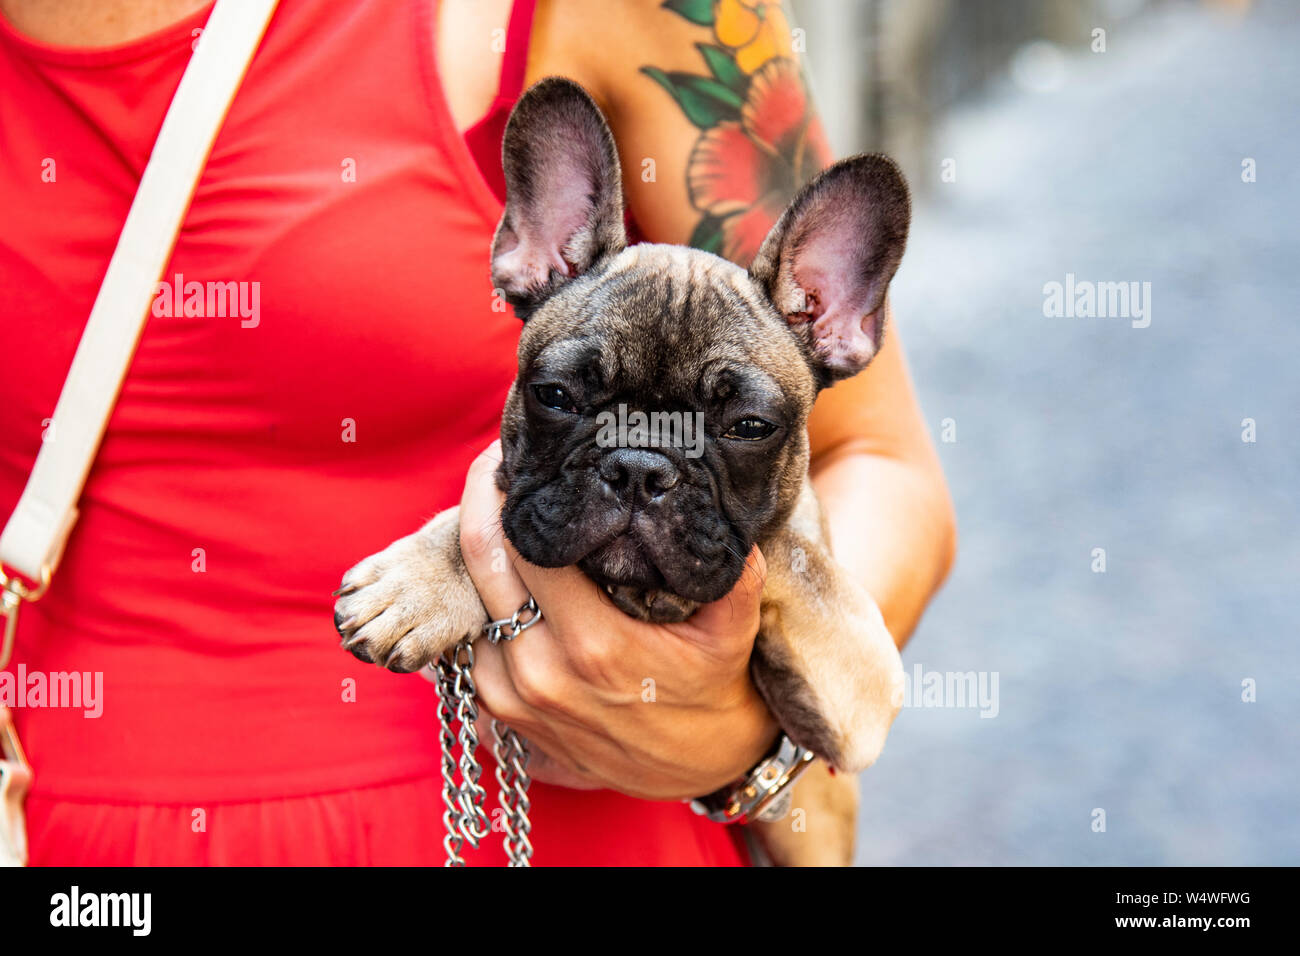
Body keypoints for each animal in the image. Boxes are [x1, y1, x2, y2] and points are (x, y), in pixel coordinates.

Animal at [335, 76, 915, 868]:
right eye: (554, 395)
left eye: (749, 428)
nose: (640, 467)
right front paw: (424, 577)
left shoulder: (861, 676)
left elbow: (789, 554)